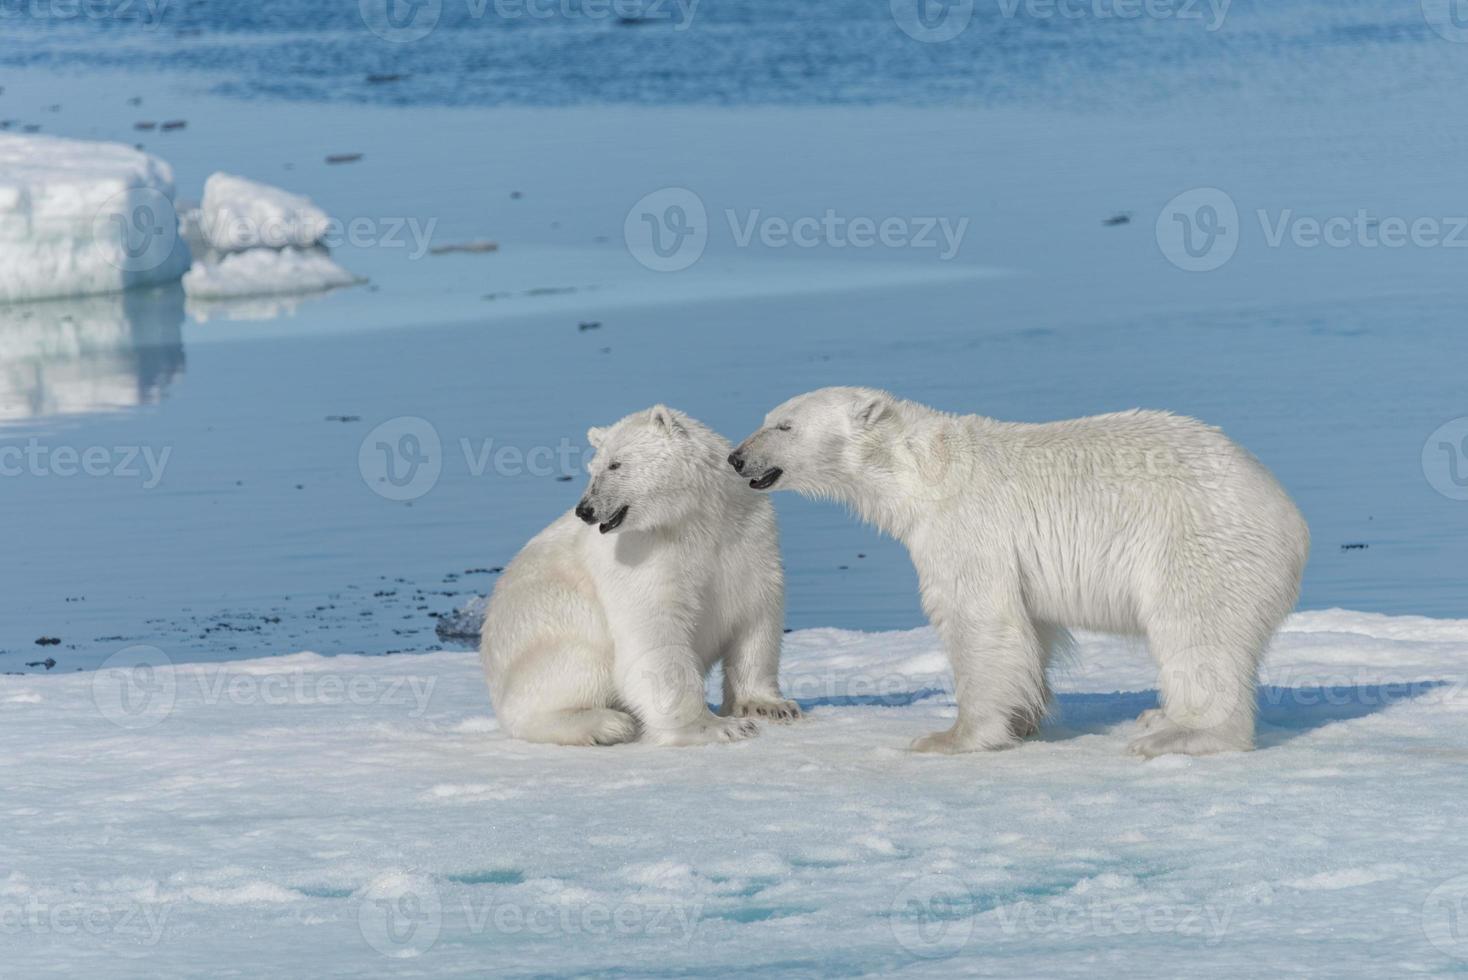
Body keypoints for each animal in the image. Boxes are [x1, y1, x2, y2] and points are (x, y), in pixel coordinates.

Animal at [478, 401, 804, 745]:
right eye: (594, 468)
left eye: (615, 464)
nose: (585, 509)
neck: (693, 519)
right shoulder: (642, 556)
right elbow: (654, 633)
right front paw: (717, 726)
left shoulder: (746, 534)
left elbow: (755, 613)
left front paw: (770, 707)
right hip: (549, 645)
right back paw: (607, 724)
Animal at [728, 387, 1315, 757]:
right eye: (768, 417)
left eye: (783, 424)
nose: (736, 457)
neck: (923, 471)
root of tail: (1291, 516)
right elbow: (1032, 628)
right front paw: (1023, 719)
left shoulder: (966, 526)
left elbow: (981, 620)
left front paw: (950, 737)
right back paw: (1158, 717)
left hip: (1198, 543)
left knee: (1198, 631)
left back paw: (1178, 734)